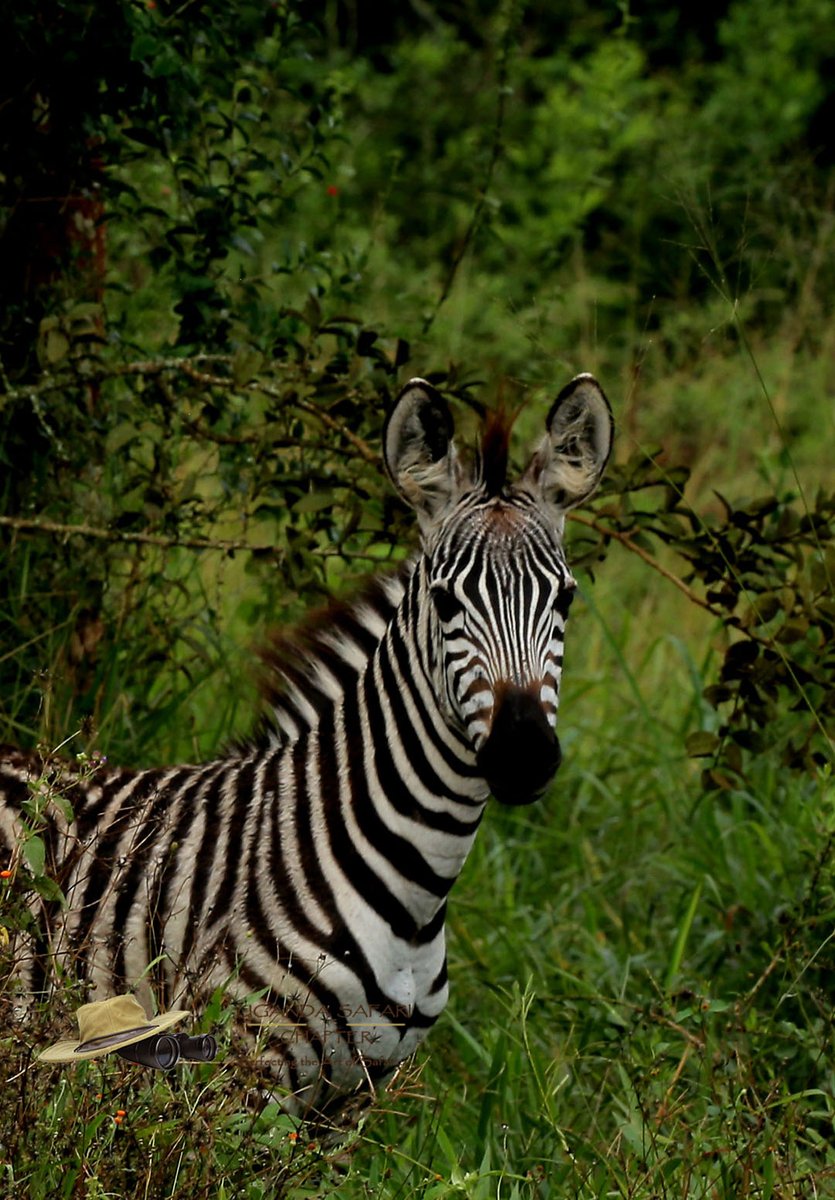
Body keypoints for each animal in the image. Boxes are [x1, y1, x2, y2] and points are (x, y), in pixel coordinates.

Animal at [0, 374, 614, 1113]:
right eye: (444, 602)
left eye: (566, 600)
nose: (523, 757)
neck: (415, 898)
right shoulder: (235, 1080)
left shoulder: (352, 1101)